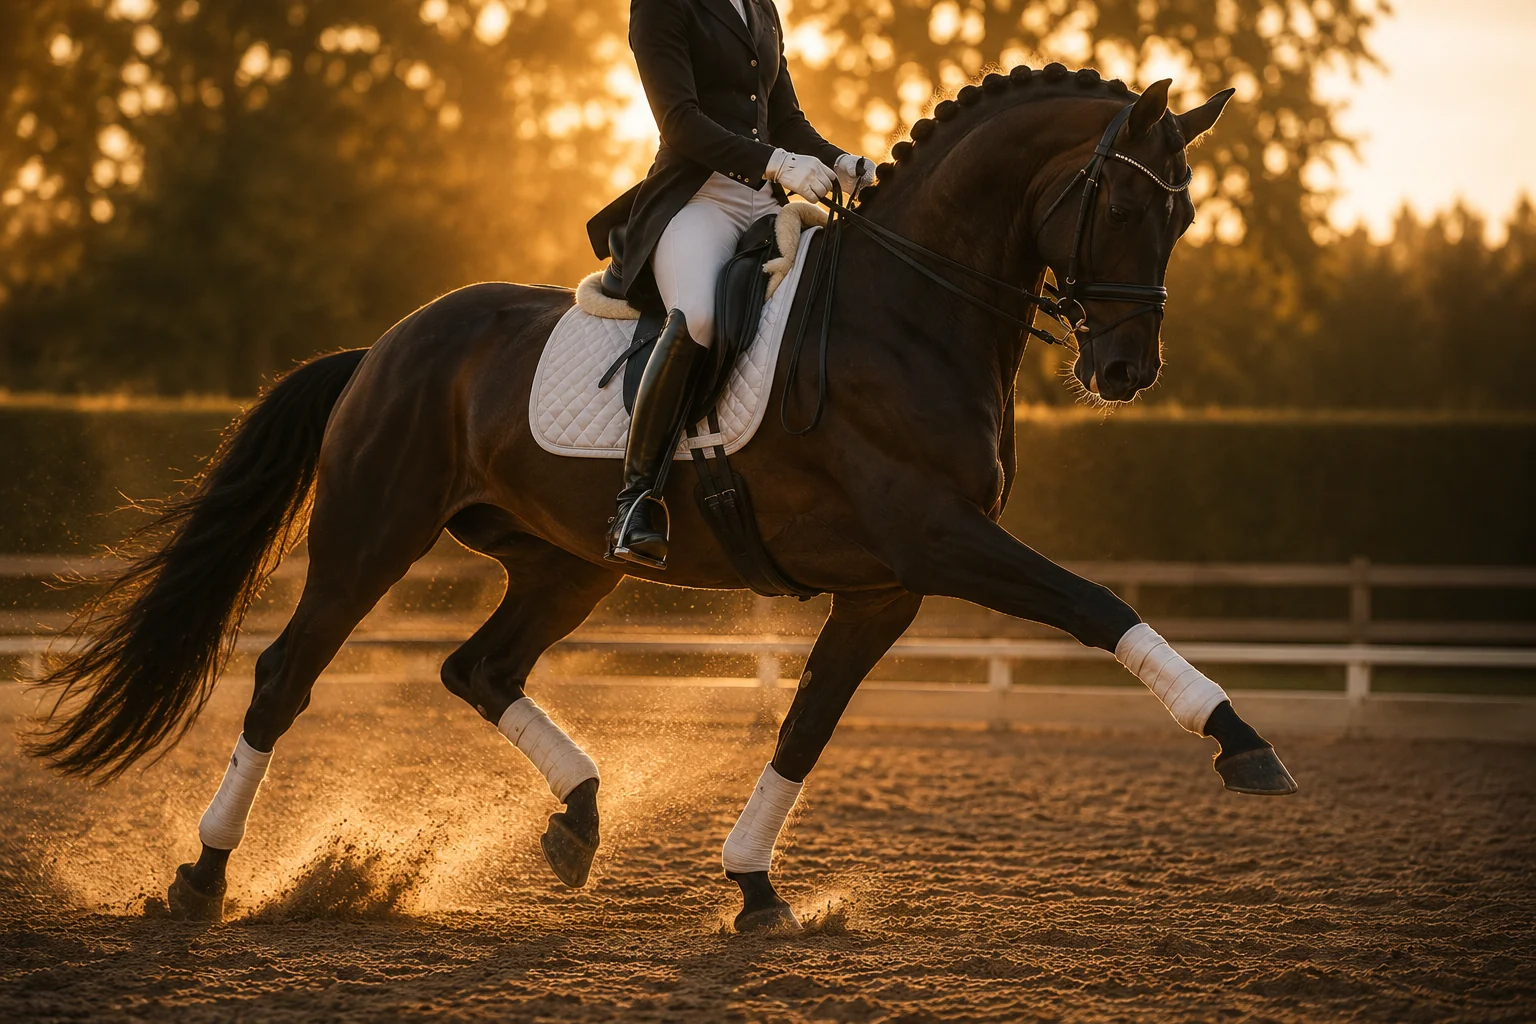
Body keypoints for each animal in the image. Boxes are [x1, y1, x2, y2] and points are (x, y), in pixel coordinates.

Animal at [27, 64, 1297, 934]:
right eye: (1124, 209)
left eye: (1183, 218)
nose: (1125, 371)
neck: (910, 310)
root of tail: (385, 345)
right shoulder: (940, 536)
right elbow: (1095, 604)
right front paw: (1242, 741)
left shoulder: (886, 586)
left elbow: (805, 725)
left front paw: (755, 887)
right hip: (369, 533)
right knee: (287, 675)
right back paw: (202, 876)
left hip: (566, 561)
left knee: (478, 667)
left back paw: (582, 815)